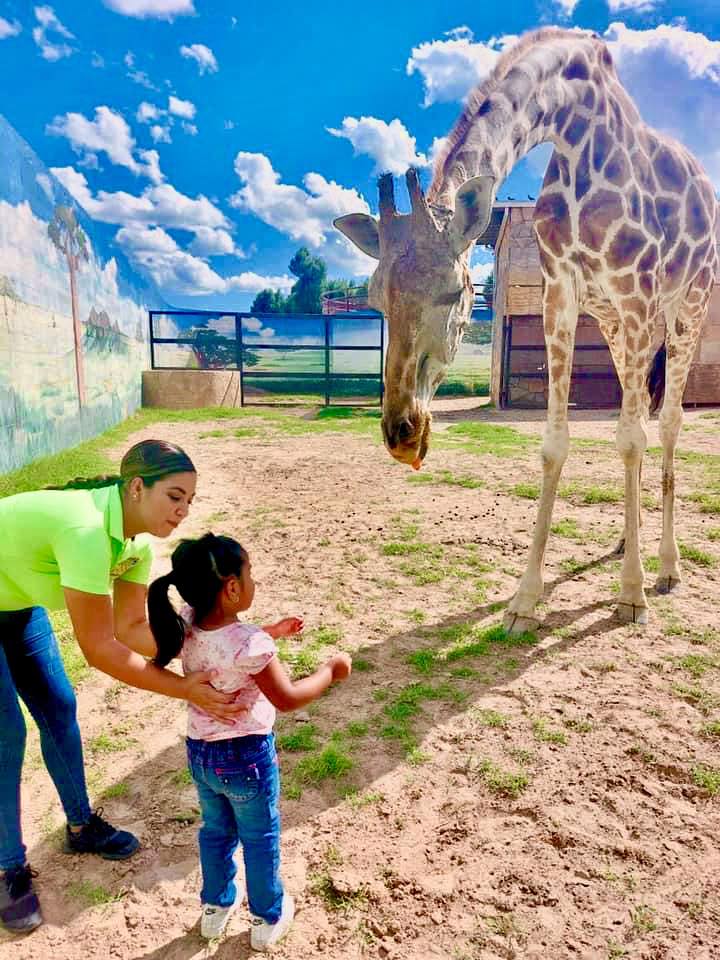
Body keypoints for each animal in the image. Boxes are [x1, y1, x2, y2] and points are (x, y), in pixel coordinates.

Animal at [334, 26, 716, 632]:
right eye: (374, 298)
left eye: (454, 293)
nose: (402, 435)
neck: (574, 126)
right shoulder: (561, 292)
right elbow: (556, 444)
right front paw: (525, 600)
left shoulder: (635, 290)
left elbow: (632, 438)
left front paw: (631, 594)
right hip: (615, 326)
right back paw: (621, 542)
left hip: (685, 307)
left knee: (669, 422)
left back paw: (666, 566)